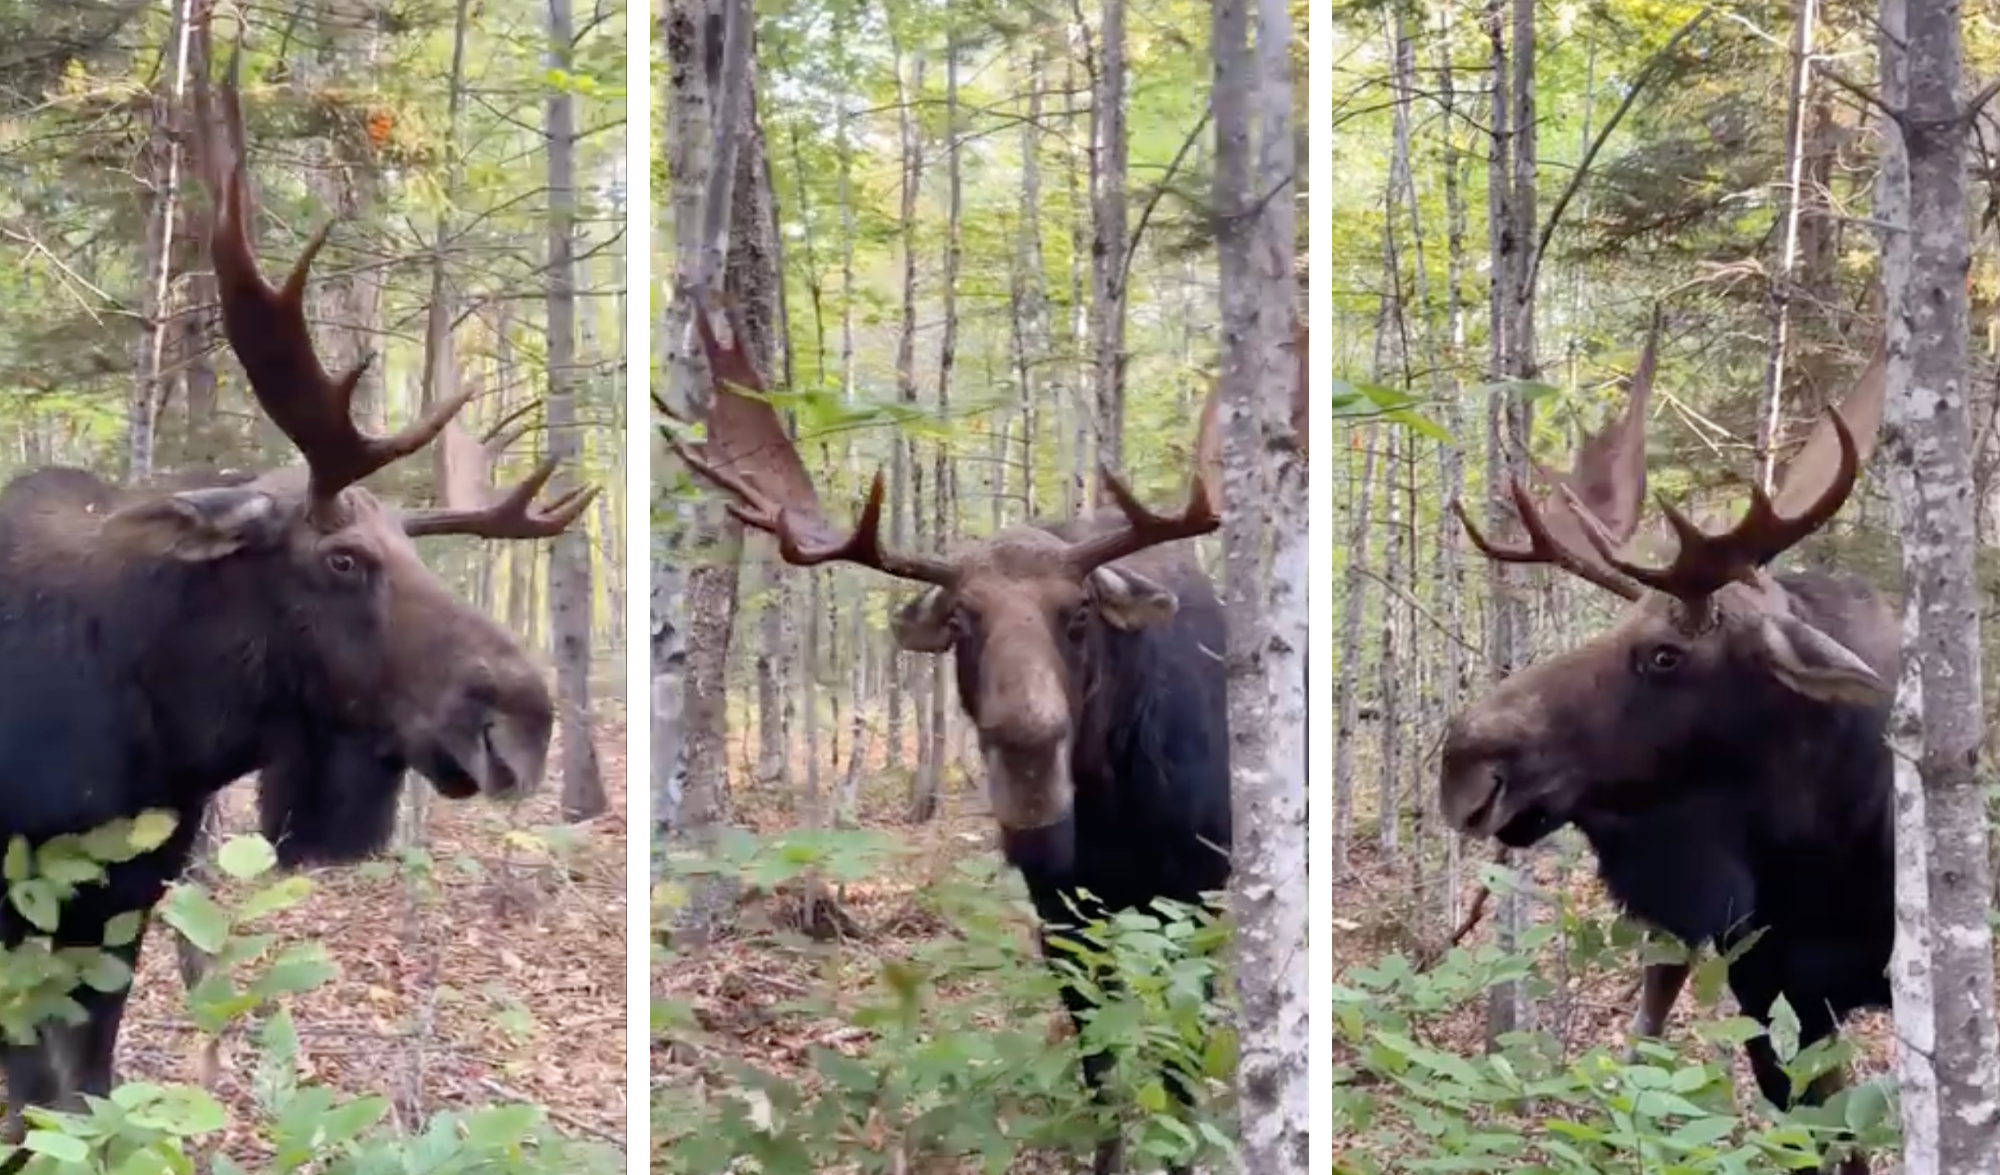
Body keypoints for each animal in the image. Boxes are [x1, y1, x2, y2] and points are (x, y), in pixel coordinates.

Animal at [0, 34, 592, 1119]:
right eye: (344, 558)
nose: (525, 722)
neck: (163, 727)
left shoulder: (128, 893)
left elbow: (90, 1086)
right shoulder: (22, 899)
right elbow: (36, 1103)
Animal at [680, 293, 1224, 1175]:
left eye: (1078, 613)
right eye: (964, 620)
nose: (1027, 746)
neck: (1119, 803)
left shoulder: (1201, 887)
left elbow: (1178, 1065)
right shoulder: (1059, 905)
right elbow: (1100, 1062)